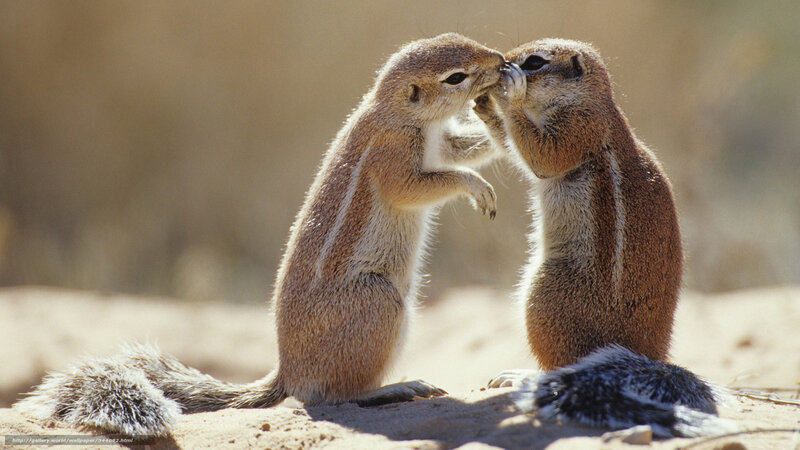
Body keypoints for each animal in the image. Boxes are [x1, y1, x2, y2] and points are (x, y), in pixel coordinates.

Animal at [15, 33, 506, 438]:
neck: (397, 110)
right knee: (330, 395)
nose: (502, 61)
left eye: (466, 38)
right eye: (456, 76)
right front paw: (477, 187)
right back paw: (394, 388)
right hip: (379, 302)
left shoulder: (444, 142)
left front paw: (501, 128)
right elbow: (418, 186)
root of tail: (287, 371)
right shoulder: (394, 156)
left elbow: (466, 148)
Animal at [472, 39, 732, 437]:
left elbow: (542, 155)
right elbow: (510, 141)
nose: (501, 65)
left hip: (545, 294)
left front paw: (509, 92)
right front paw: (483, 105)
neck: (590, 100)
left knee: (561, 363)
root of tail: (647, 356)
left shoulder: (578, 130)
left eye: (535, 62)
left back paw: (520, 376)